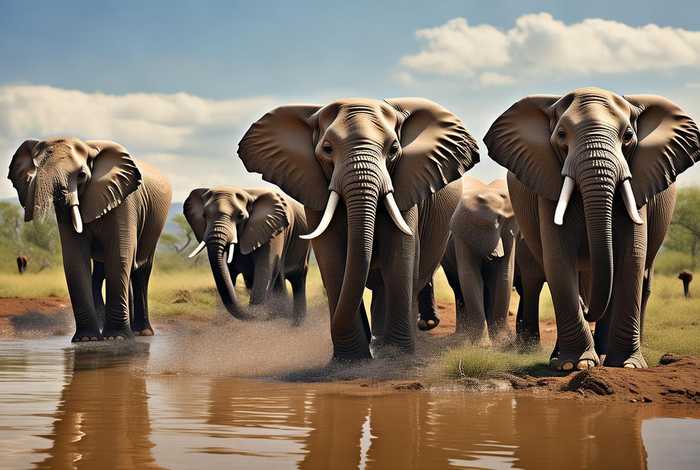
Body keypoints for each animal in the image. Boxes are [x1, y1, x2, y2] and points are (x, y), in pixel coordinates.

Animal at [8, 138, 172, 341]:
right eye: (36, 171)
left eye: (81, 175)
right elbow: (75, 260)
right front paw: (87, 339)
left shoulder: (124, 200)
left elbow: (119, 256)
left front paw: (116, 338)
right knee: (102, 271)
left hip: (155, 222)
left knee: (140, 269)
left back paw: (141, 333)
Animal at [183, 186, 310, 324]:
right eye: (204, 215)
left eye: (240, 216)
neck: (247, 192)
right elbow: (229, 273)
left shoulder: (273, 230)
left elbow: (265, 270)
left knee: (295, 278)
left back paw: (295, 324)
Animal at [237, 98, 478, 360]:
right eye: (327, 149)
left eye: (394, 149)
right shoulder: (314, 189)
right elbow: (333, 260)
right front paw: (351, 358)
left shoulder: (406, 185)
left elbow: (398, 258)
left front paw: (396, 354)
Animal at [485, 87, 700, 370]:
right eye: (561, 135)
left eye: (628, 136)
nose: (586, 309)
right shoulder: (547, 179)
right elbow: (558, 257)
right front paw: (575, 365)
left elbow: (632, 256)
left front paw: (627, 365)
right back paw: (566, 356)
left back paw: (605, 353)